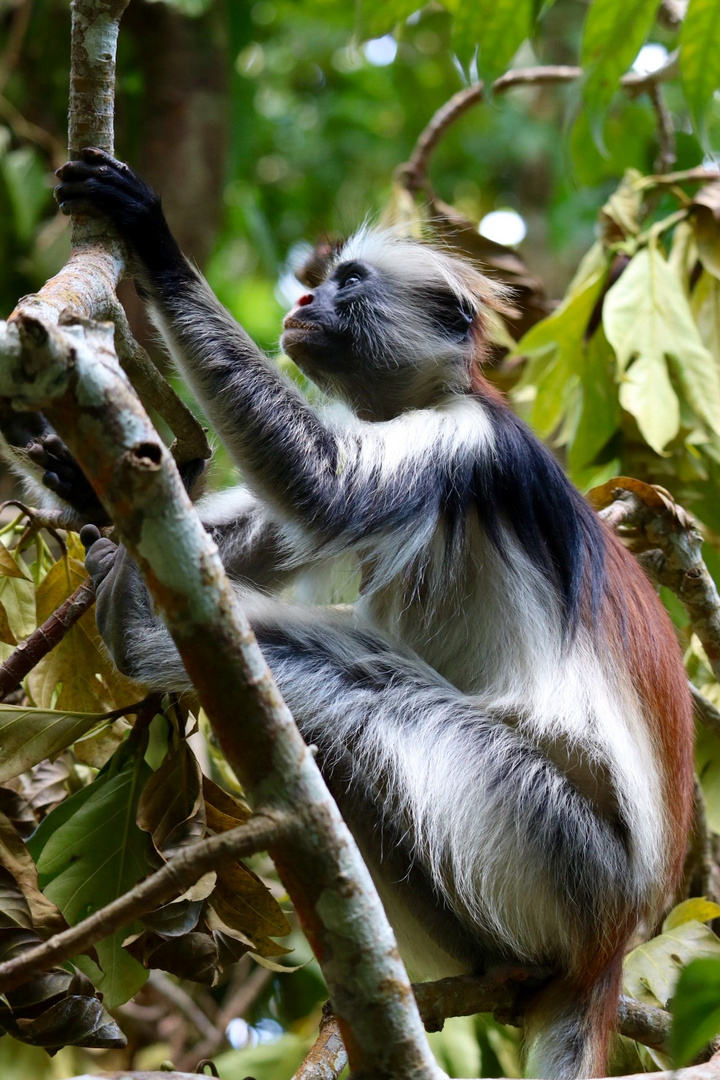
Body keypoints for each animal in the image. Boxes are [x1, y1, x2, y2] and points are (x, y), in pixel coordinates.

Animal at [12, 147, 699, 1075]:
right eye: (323, 284)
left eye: (348, 283)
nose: (305, 304)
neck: (430, 398)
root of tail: (616, 937)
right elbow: (252, 543)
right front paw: (83, 482)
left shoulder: (463, 440)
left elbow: (322, 487)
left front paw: (151, 238)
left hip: (555, 842)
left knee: (371, 693)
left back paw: (139, 631)